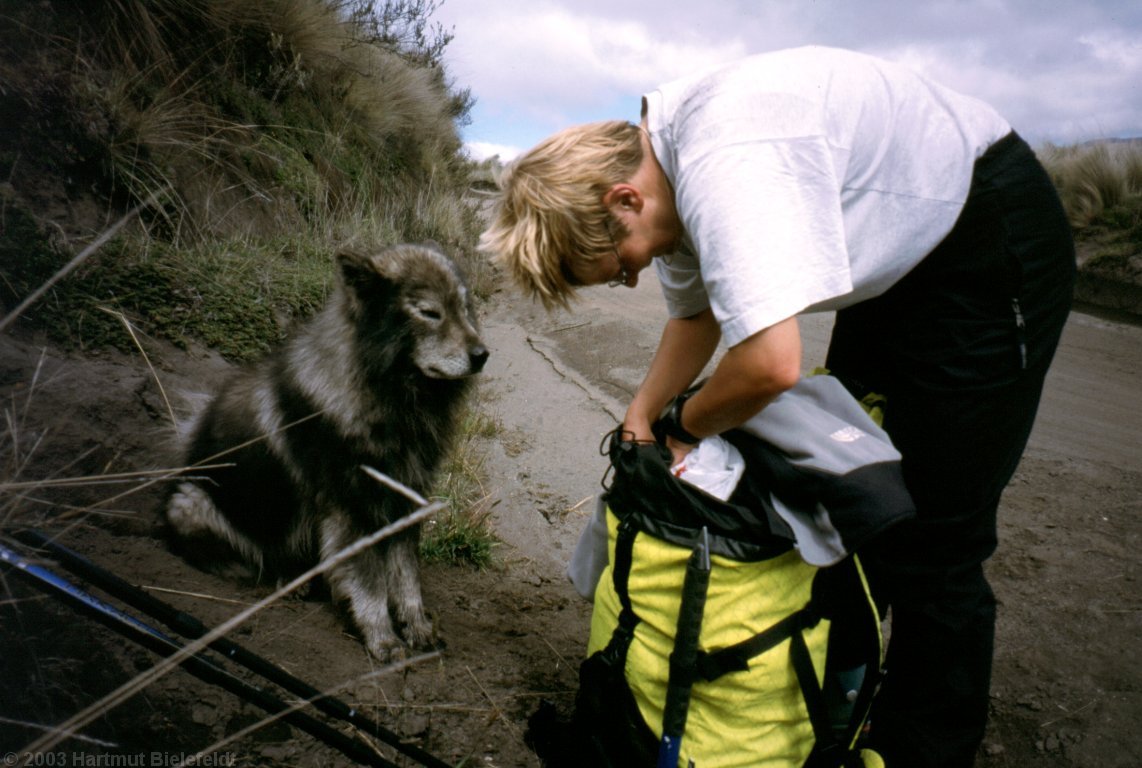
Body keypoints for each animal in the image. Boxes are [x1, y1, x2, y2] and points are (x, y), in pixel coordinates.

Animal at [166, 244, 488, 657]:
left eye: (464, 309)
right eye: (430, 312)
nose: (482, 354)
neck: (388, 397)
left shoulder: (403, 500)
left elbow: (406, 576)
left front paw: (416, 627)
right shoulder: (352, 511)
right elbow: (370, 583)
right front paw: (382, 638)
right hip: (192, 503)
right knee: (255, 556)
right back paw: (289, 578)